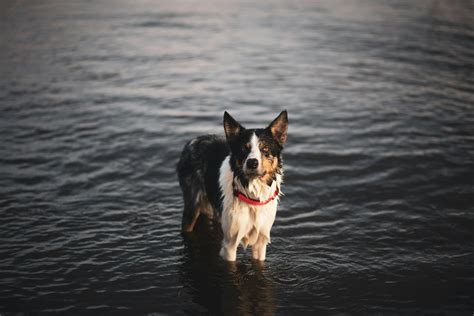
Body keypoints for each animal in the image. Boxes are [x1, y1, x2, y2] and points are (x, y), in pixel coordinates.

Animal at [178, 111, 288, 262]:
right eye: (243, 149)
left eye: (265, 148)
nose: (252, 163)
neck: (252, 192)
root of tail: (193, 141)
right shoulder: (230, 243)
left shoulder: (261, 241)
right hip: (192, 205)